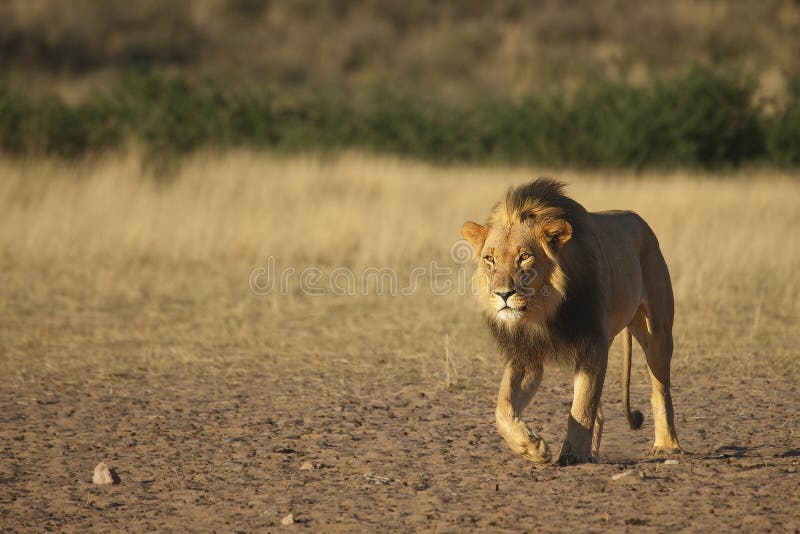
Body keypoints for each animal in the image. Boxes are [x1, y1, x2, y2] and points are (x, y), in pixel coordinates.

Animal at [462, 179, 680, 464]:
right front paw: (530, 446)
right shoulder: (527, 353)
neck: (543, 310)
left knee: (660, 390)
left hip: (657, 333)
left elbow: (582, 405)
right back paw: (593, 452)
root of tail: (639, 220)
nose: (503, 294)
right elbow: (503, 406)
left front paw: (573, 454)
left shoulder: (592, 342)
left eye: (524, 256)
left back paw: (667, 446)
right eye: (490, 259)